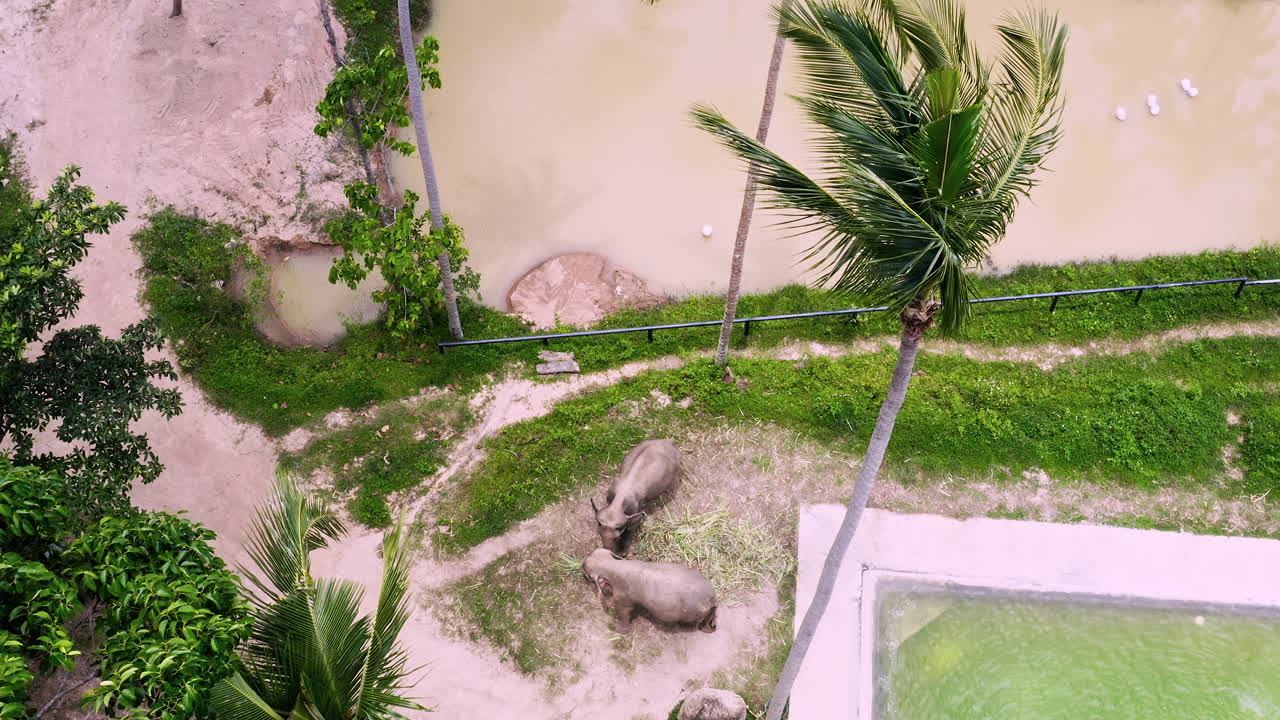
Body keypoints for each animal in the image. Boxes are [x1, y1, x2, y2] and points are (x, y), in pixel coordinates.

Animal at [581, 548, 717, 633]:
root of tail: (713, 598)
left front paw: (620, 631)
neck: (613, 564)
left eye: (588, 575)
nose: (581, 564)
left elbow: (623, 611)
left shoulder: (623, 596)